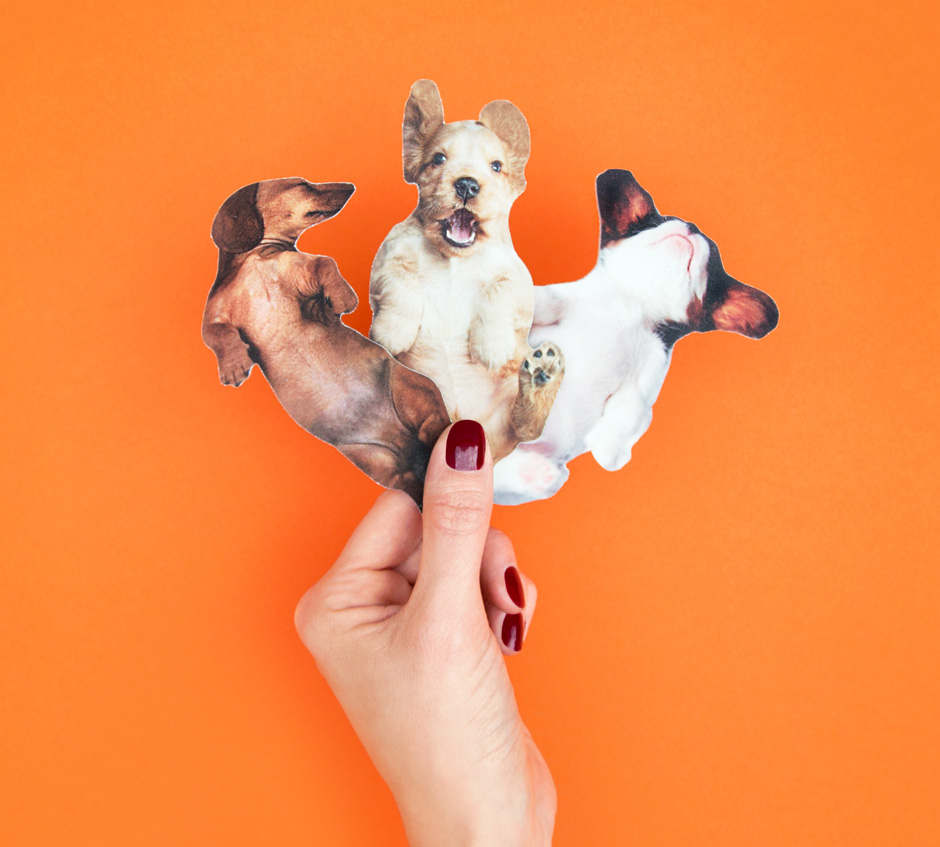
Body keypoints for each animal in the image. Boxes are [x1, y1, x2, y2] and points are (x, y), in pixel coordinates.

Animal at [368, 78, 560, 460]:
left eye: (496, 166)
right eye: (438, 159)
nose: (468, 184)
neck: (454, 258)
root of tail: (459, 420)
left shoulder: (518, 282)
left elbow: (498, 291)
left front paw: (491, 345)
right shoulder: (387, 261)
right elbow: (401, 283)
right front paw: (393, 332)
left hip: (509, 415)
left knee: (526, 426)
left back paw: (541, 376)